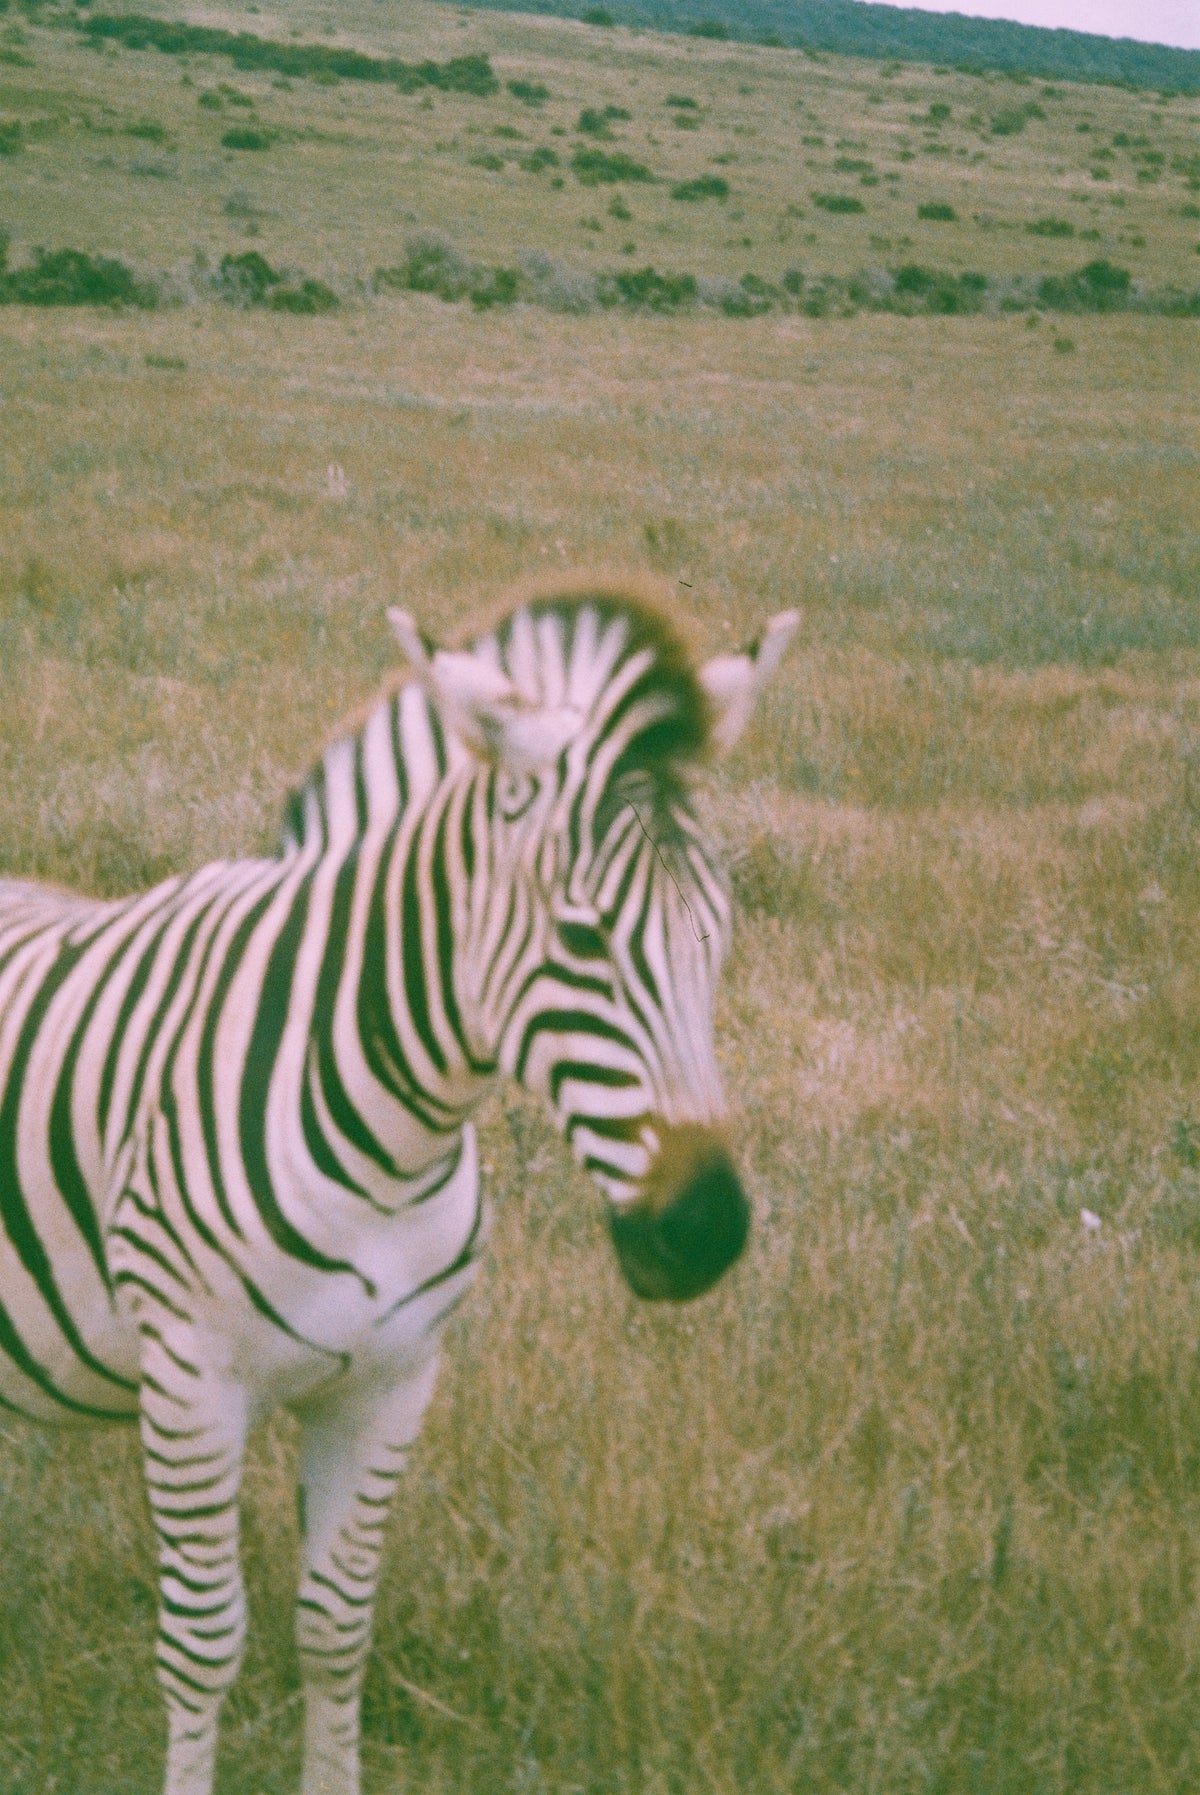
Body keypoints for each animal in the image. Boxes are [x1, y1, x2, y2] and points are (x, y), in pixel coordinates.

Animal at [0, 584, 798, 1795]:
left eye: (721, 928)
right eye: (581, 936)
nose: (705, 1231)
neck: (384, 1139)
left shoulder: (389, 1381)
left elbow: (336, 1630)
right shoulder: (190, 1383)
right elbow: (203, 1642)